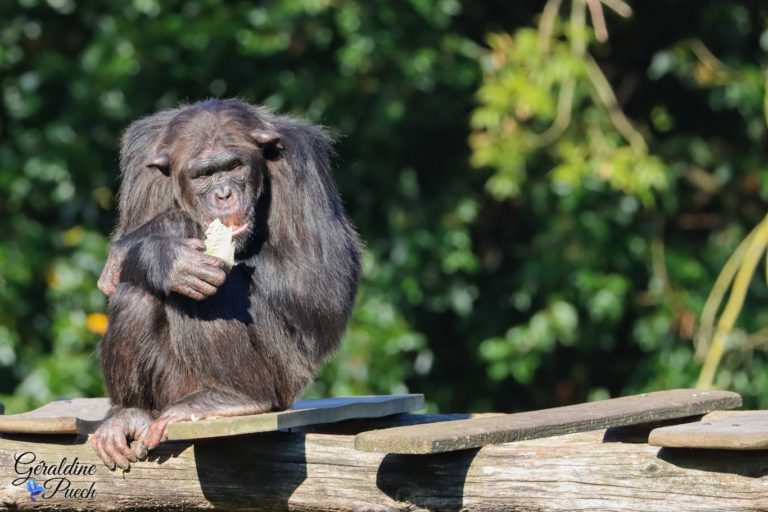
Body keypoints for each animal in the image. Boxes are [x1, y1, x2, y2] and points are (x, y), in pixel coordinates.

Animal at [91, 98, 364, 470]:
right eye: (204, 175)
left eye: (234, 166)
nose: (223, 194)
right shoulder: (139, 157)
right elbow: (124, 260)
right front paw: (163, 256)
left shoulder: (300, 161)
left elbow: (323, 282)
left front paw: (164, 231)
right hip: (170, 392)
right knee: (137, 292)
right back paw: (127, 414)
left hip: (285, 378)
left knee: (215, 290)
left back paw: (233, 398)